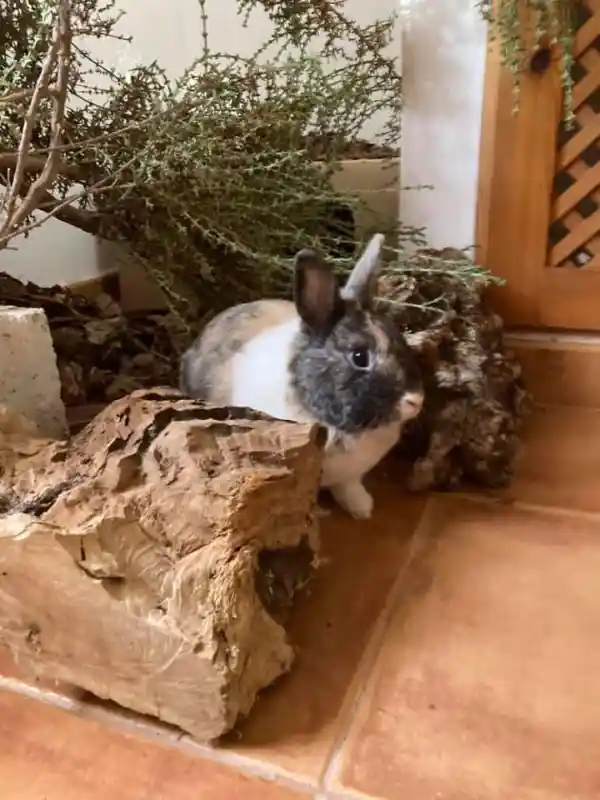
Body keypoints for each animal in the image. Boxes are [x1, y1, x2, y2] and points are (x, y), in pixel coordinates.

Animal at [179, 233, 424, 520]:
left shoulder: (350, 475)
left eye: (402, 341)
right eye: (360, 357)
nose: (416, 401)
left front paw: (362, 509)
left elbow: (349, 487)